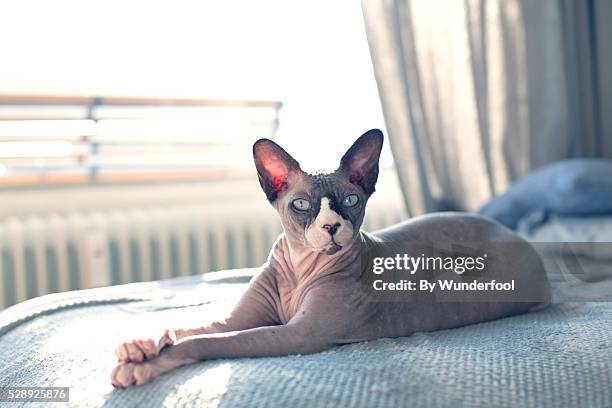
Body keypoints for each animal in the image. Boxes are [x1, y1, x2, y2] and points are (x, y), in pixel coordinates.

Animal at [110, 129, 548, 388]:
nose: (332, 226)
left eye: (351, 201)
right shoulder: (239, 319)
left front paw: (145, 365)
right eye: (302, 205)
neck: (300, 272)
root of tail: (515, 234)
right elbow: (195, 327)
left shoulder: (298, 335)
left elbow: (211, 341)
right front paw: (142, 345)